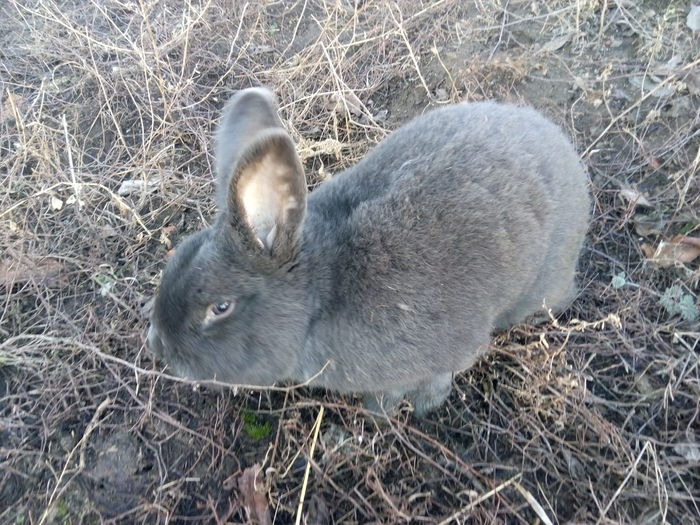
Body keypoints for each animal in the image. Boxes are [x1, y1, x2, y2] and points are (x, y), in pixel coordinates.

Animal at [149, 88, 592, 416]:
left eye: (220, 307)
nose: (159, 346)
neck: (320, 298)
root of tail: (563, 150)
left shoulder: (447, 354)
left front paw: (396, 410)